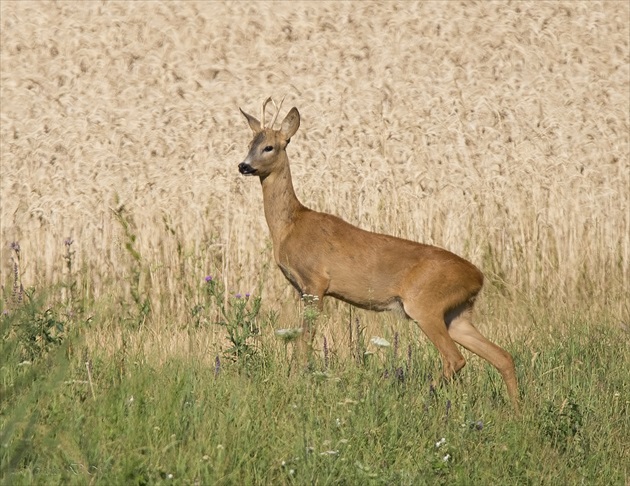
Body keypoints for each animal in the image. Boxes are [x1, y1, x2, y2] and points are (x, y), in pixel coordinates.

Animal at [239, 97, 520, 408]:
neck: (290, 225)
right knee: (502, 356)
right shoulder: (304, 289)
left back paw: (417, 399)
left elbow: (304, 341)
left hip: (426, 305)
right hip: (457, 314)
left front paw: (297, 380)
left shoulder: (315, 283)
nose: (244, 166)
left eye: (269, 147)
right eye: (249, 143)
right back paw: (517, 410)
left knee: (455, 359)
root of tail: (479, 277)